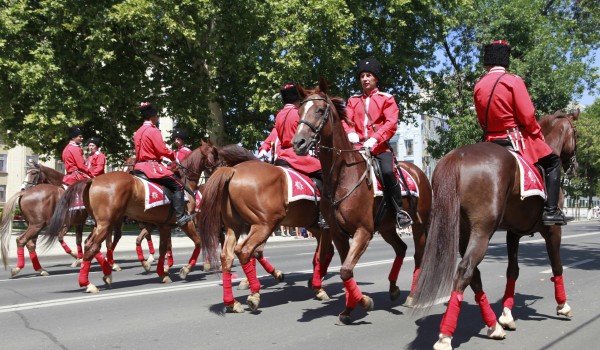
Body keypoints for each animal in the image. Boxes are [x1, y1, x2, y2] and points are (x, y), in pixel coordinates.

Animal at [290, 78, 432, 324]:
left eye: (320, 110)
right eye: (299, 110)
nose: (298, 142)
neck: (342, 177)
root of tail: (419, 171)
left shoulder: (363, 231)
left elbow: (346, 270)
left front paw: (364, 301)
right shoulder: (338, 234)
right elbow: (346, 270)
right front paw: (349, 308)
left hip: (419, 225)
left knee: (418, 256)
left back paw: (413, 295)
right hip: (386, 227)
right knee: (401, 248)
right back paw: (393, 288)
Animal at [410, 110, 580, 350]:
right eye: (576, 134)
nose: (574, 165)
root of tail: (458, 156)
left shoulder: (513, 233)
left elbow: (512, 270)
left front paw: (507, 315)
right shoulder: (553, 230)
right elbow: (557, 265)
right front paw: (563, 306)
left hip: (464, 233)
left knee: (474, 275)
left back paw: (493, 326)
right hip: (482, 231)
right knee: (465, 271)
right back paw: (445, 336)